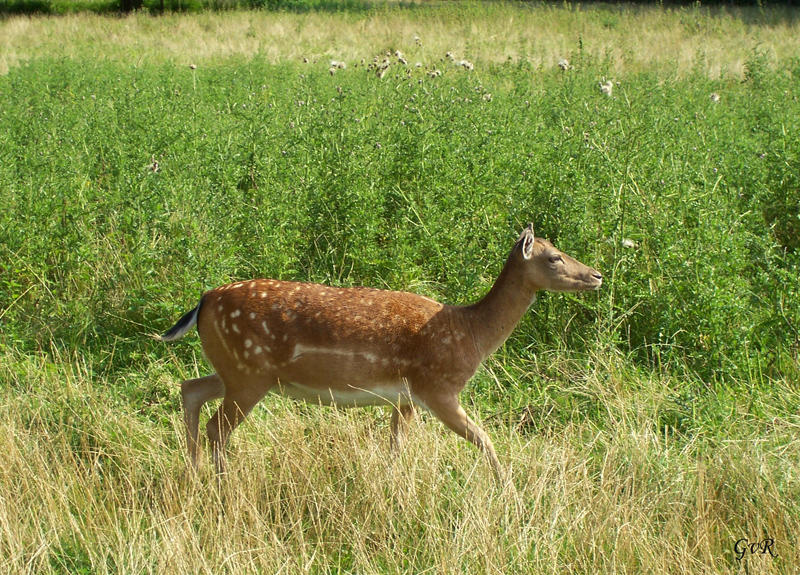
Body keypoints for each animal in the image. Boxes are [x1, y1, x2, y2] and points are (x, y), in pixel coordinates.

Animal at [159, 223, 604, 484]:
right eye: (554, 257)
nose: (597, 275)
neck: (471, 334)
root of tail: (203, 301)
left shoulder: (404, 397)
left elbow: (395, 448)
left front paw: (390, 486)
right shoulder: (437, 387)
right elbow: (485, 438)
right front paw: (507, 487)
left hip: (239, 371)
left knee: (191, 389)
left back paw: (194, 473)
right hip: (249, 372)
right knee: (217, 426)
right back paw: (224, 485)